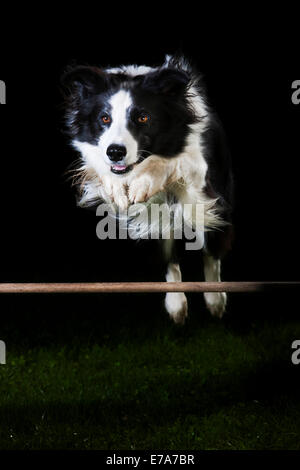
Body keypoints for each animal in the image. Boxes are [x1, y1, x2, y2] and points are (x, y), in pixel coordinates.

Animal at [61, 56, 234, 324]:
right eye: (104, 119)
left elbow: (172, 163)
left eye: (143, 118)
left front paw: (144, 182)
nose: (115, 152)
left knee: (211, 247)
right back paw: (177, 305)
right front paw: (118, 188)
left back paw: (215, 300)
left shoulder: (200, 172)